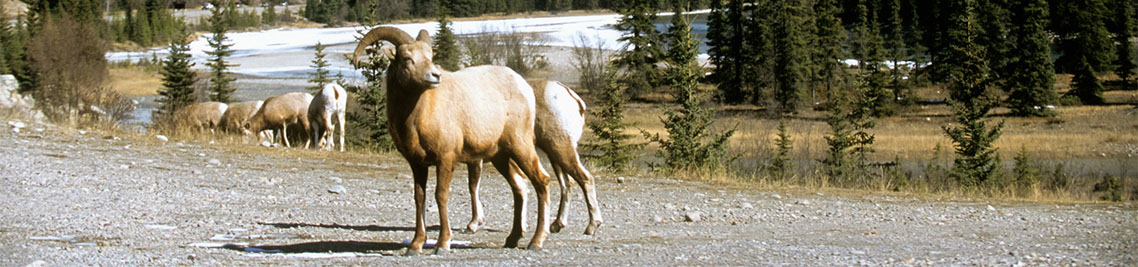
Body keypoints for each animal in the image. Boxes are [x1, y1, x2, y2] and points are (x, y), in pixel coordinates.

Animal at [352, 26, 553, 254]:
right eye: (407, 58)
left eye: (430, 56)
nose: (435, 76)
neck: (418, 116)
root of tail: (524, 87)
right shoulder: (417, 164)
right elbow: (419, 198)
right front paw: (415, 245)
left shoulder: (446, 158)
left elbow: (441, 195)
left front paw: (442, 244)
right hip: (500, 156)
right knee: (519, 186)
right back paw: (512, 239)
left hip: (521, 146)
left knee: (541, 180)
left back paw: (536, 241)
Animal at [464, 79, 605, 235]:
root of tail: (573, 98)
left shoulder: (476, 161)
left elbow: (473, 187)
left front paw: (473, 224)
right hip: (554, 156)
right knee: (567, 184)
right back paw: (557, 224)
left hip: (561, 150)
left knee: (585, 179)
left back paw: (591, 226)